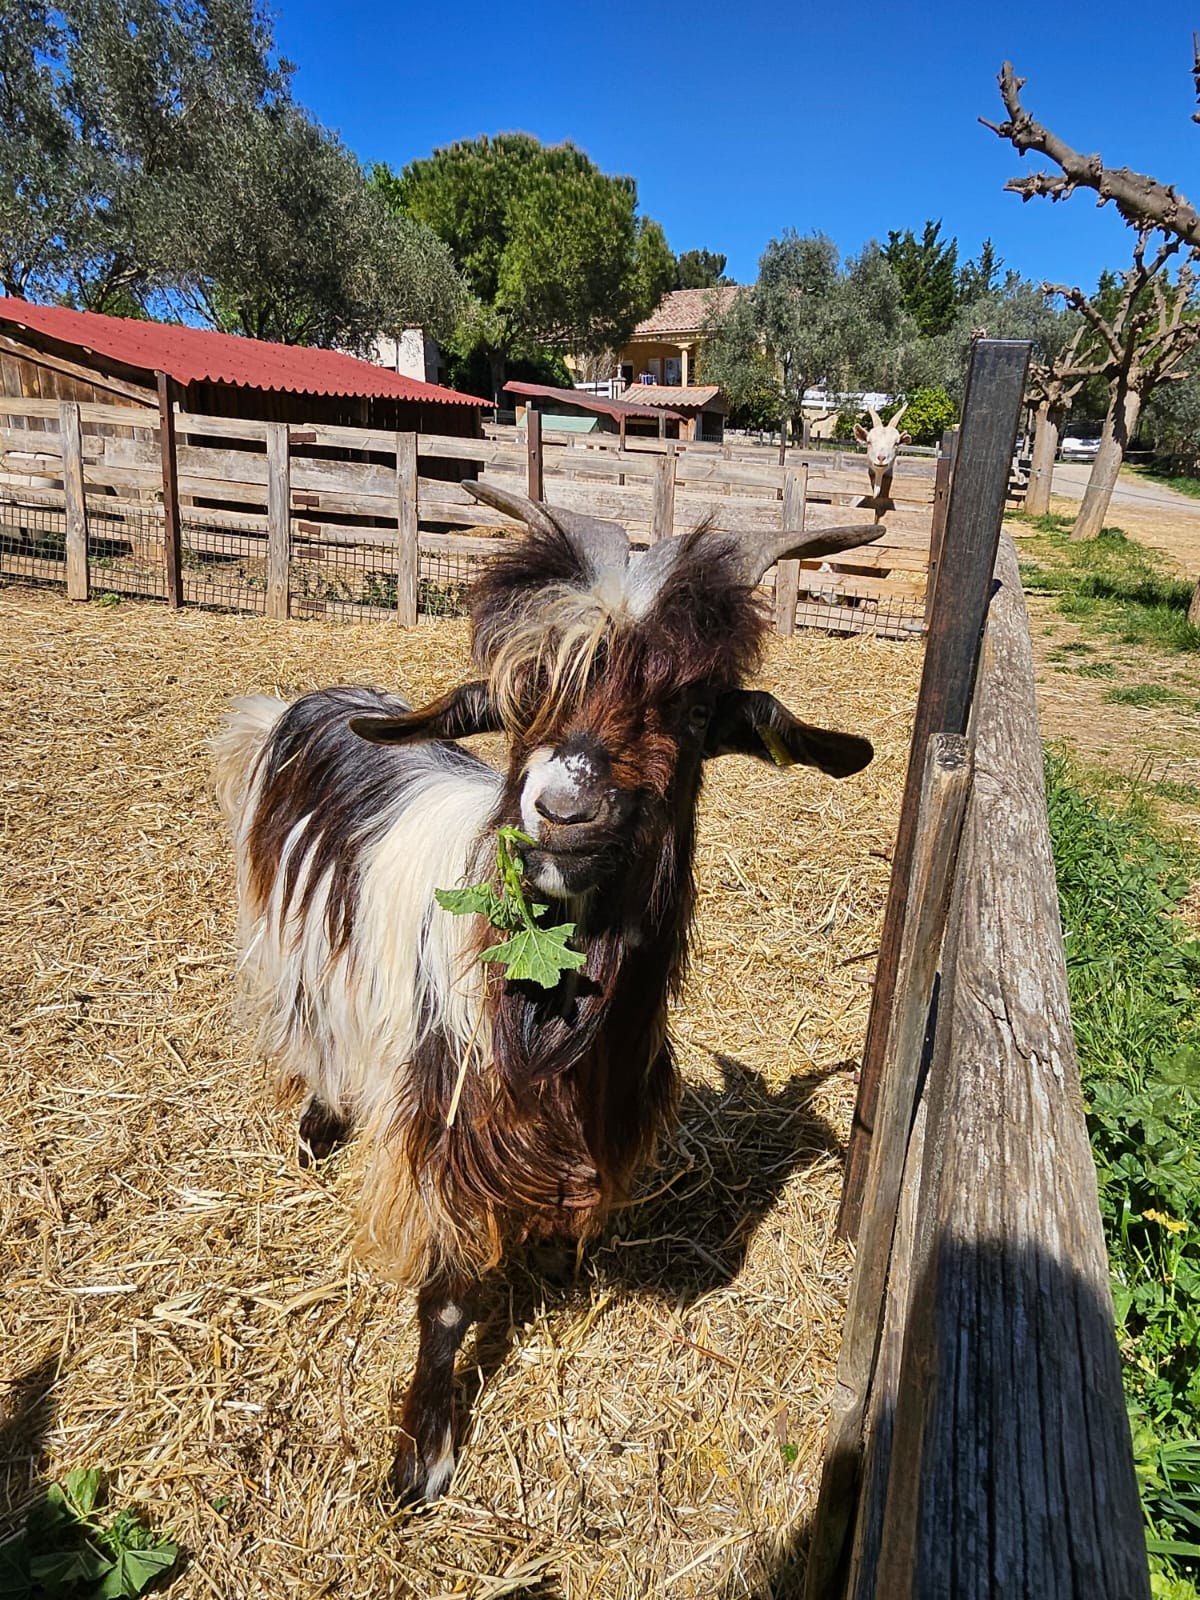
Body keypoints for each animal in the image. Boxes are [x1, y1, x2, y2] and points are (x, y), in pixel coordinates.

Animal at [214, 485, 883, 1502]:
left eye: (693, 708)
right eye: (523, 697)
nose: (562, 812)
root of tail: (311, 705)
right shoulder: (447, 1131)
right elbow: (449, 1299)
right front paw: (424, 1451)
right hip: (292, 935)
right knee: (310, 1024)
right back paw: (317, 1126)